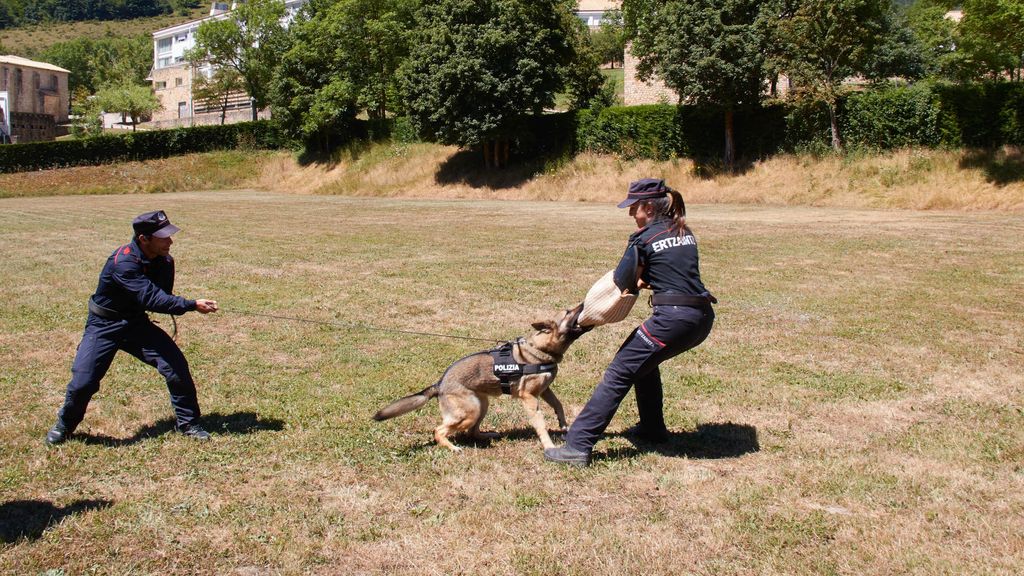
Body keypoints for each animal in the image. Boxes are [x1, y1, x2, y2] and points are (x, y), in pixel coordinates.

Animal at [372, 303, 589, 450]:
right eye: (568, 312)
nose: (583, 303)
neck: (540, 350)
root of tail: (440, 384)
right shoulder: (529, 398)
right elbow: (541, 424)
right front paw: (549, 446)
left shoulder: (544, 391)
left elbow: (559, 405)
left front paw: (563, 425)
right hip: (471, 411)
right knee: (439, 431)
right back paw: (452, 447)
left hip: (481, 406)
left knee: (472, 432)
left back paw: (487, 435)